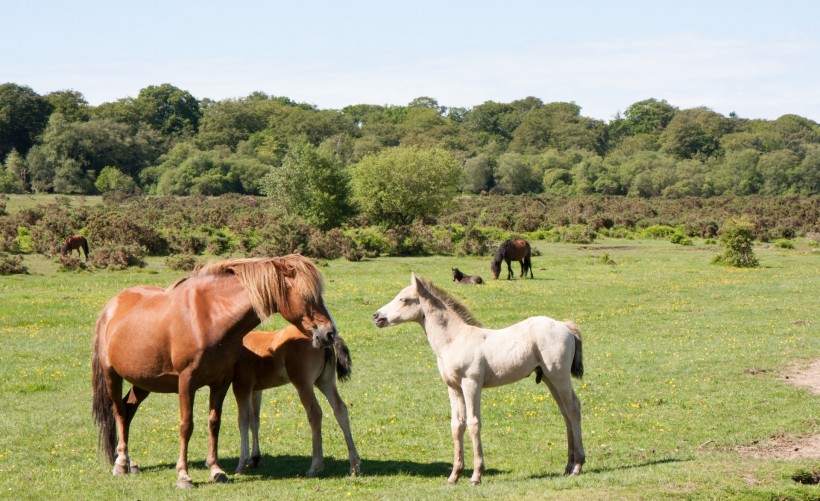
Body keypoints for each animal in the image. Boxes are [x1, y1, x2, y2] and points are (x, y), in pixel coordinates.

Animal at [94, 256, 338, 486]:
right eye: (306, 295)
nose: (329, 334)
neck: (209, 317)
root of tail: (111, 306)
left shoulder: (221, 381)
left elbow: (214, 423)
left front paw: (216, 470)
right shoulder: (186, 382)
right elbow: (186, 425)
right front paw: (184, 476)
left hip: (144, 382)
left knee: (128, 410)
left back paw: (131, 463)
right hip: (112, 376)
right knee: (119, 411)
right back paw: (121, 463)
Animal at [231, 324, 358, 476]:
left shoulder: (241, 386)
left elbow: (243, 421)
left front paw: (241, 465)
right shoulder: (256, 389)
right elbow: (254, 420)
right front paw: (254, 459)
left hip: (303, 384)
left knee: (315, 413)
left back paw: (315, 466)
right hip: (325, 381)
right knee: (340, 409)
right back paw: (354, 466)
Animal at [372, 274, 584, 484]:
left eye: (404, 299)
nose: (376, 316)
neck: (455, 339)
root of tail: (564, 326)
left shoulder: (471, 383)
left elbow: (473, 423)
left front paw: (476, 475)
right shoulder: (453, 387)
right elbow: (457, 425)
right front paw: (454, 475)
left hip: (560, 377)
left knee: (573, 408)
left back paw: (578, 466)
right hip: (549, 378)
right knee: (565, 413)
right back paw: (568, 466)